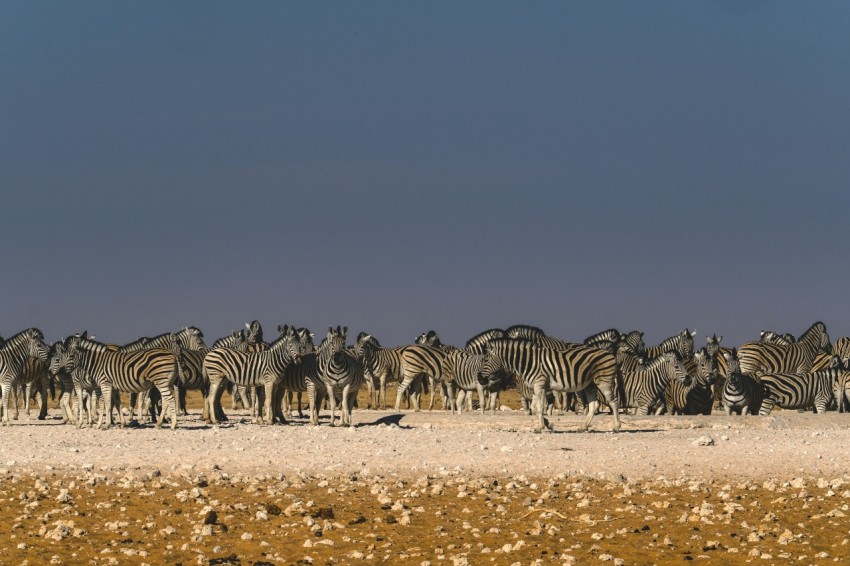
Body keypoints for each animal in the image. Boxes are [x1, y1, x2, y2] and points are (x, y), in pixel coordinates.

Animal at [483, 338, 622, 432]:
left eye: (485, 359)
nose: (480, 377)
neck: (528, 362)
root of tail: (610, 354)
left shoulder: (539, 384)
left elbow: (539, 407)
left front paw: (540, 427)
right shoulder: (536, 388)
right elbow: (534, 408)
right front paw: (548, 424)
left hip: (604, 382)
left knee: (614, 402)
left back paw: (616, 427)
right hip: (590, 385)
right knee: (594, 405)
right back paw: (583, 426)